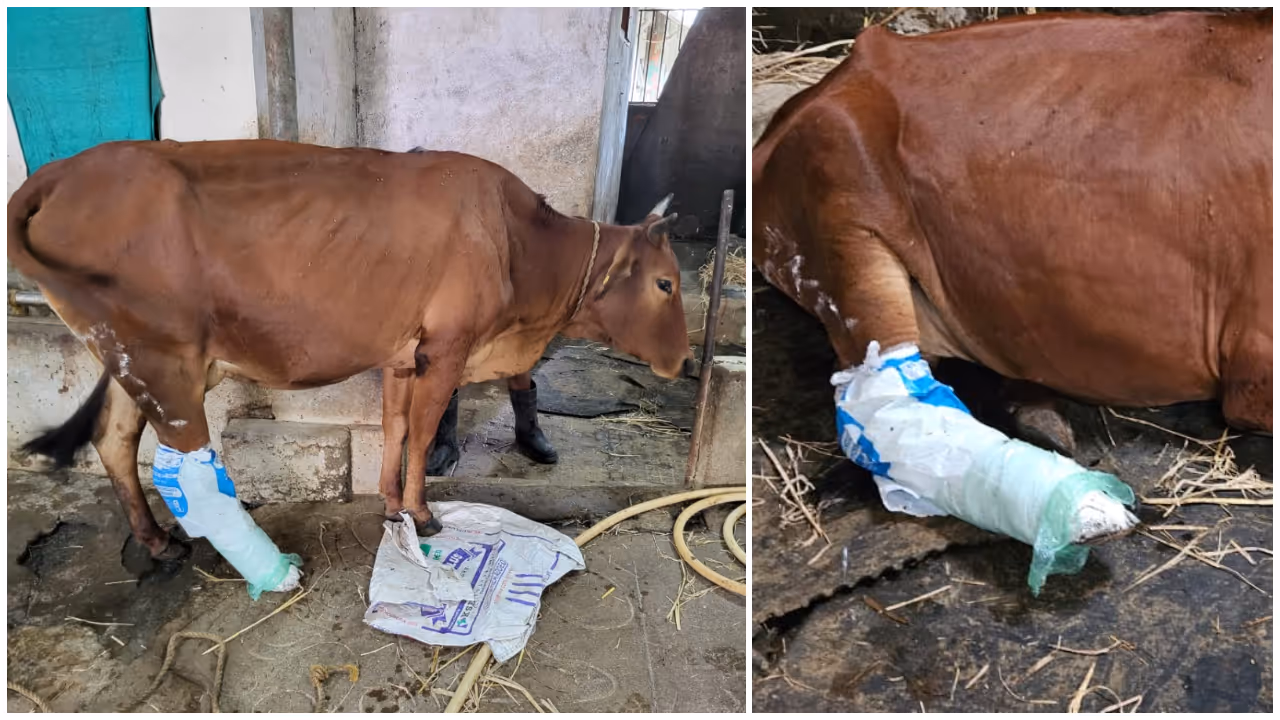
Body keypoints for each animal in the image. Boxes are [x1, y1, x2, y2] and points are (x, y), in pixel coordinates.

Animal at [8, 139, 692, 566]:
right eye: (666, 283)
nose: (684, 360)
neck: (518, 244)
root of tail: (63, 171)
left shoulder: (401, 355)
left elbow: (394, 431)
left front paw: (391, 508)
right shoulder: (447, 350)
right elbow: (422, 436)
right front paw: (422, 514)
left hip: (135, 360)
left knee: (114, 440)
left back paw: (158, 544)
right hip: (165, 365)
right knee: (184, 468)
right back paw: (263, 565)